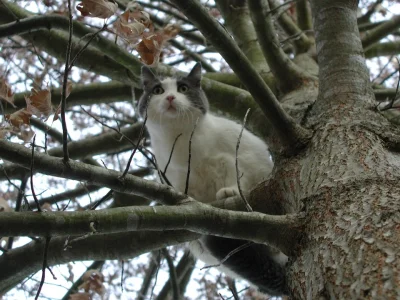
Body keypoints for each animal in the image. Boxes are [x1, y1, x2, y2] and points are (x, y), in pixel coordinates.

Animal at [138, 63, 288, 296]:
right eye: (157, 90)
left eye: (182, 88)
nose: (170, 97)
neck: (181, 142)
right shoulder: (175, 178)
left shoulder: (233, 157)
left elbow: (235, 175)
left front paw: (230, 191)